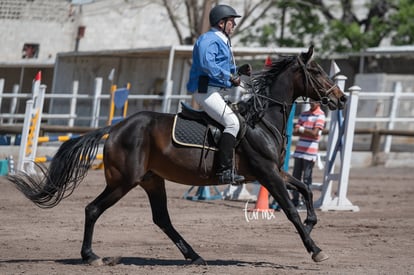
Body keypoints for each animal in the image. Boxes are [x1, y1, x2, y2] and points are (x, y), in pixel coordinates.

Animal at [8, 46, 346, 266]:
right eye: (316, 71)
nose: (341, 99)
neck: (261, 120)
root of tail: (116, 127)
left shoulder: (275, 172)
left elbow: (304, 189)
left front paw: (312, 223)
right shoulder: (267, 173)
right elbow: (289, 210)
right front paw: (315, 248)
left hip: (151, 180)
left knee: (162, 219)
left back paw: (193, 256)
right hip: (123, 182)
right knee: (93, 209)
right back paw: (90, 256)